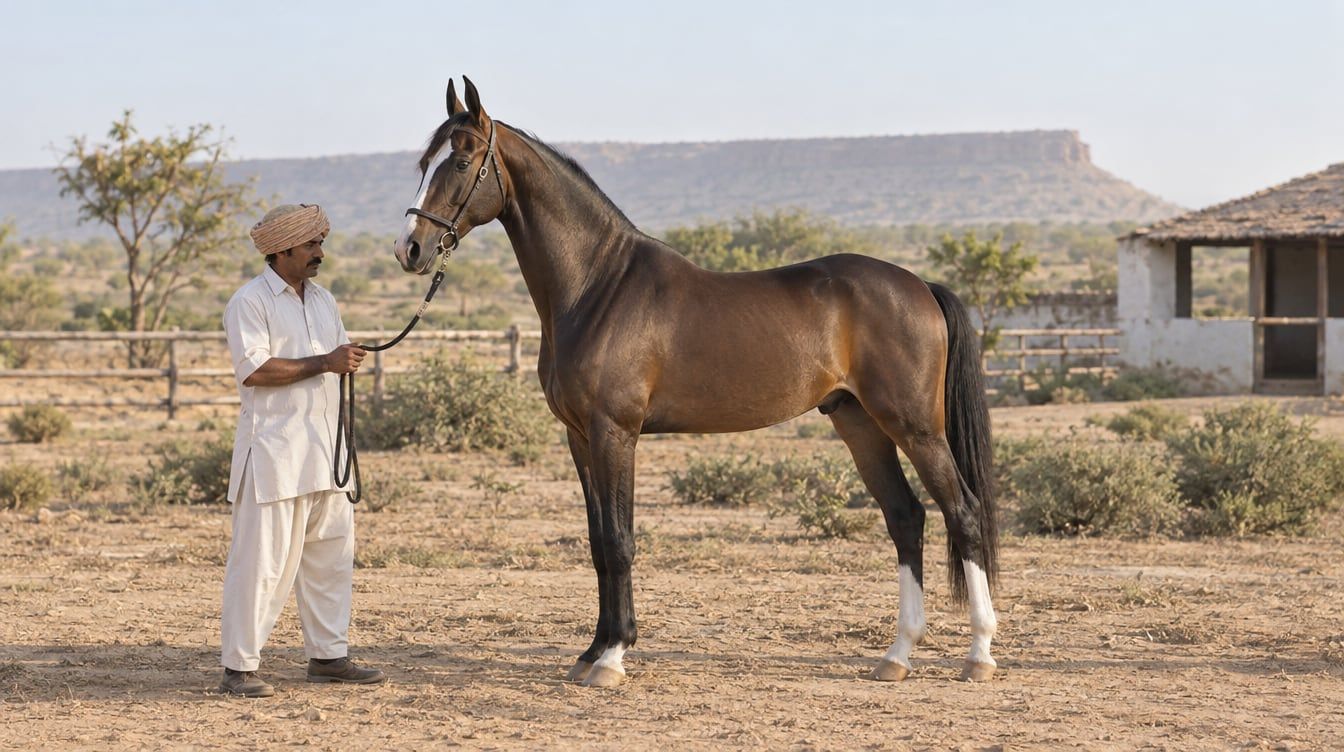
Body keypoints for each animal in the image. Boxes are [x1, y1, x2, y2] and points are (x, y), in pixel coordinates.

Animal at [393, 77, 999, 688]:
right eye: (423, 163)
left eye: (462, 159)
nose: (410, 249)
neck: (597, 285)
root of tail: (919, 285)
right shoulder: (580, 436)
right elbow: (597, 541)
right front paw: (591, 651)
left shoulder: (615, 432)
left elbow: (619, 540)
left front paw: (612, 657)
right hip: (860, 422)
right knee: (906, 516)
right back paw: (897, 655)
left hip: (914, 425)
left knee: (963, 513)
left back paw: (978, 654)